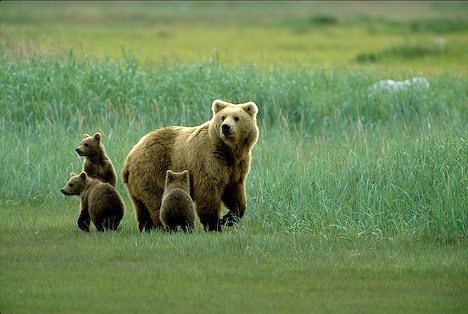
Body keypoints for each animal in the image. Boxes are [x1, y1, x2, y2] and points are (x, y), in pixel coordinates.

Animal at [120, 99, 260, 232]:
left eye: (236, 117)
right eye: (223, 117)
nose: (225, 127)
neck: (228, 151)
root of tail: (129, 157)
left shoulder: (236, 166)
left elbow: (234, 192)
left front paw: (228, 218)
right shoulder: (208, 159)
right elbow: (208, 191)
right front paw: (213, 225)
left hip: (136, 184)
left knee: (141, 205)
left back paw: (146, 227)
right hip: (152, 170)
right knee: (156, 200)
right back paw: (162, 226)